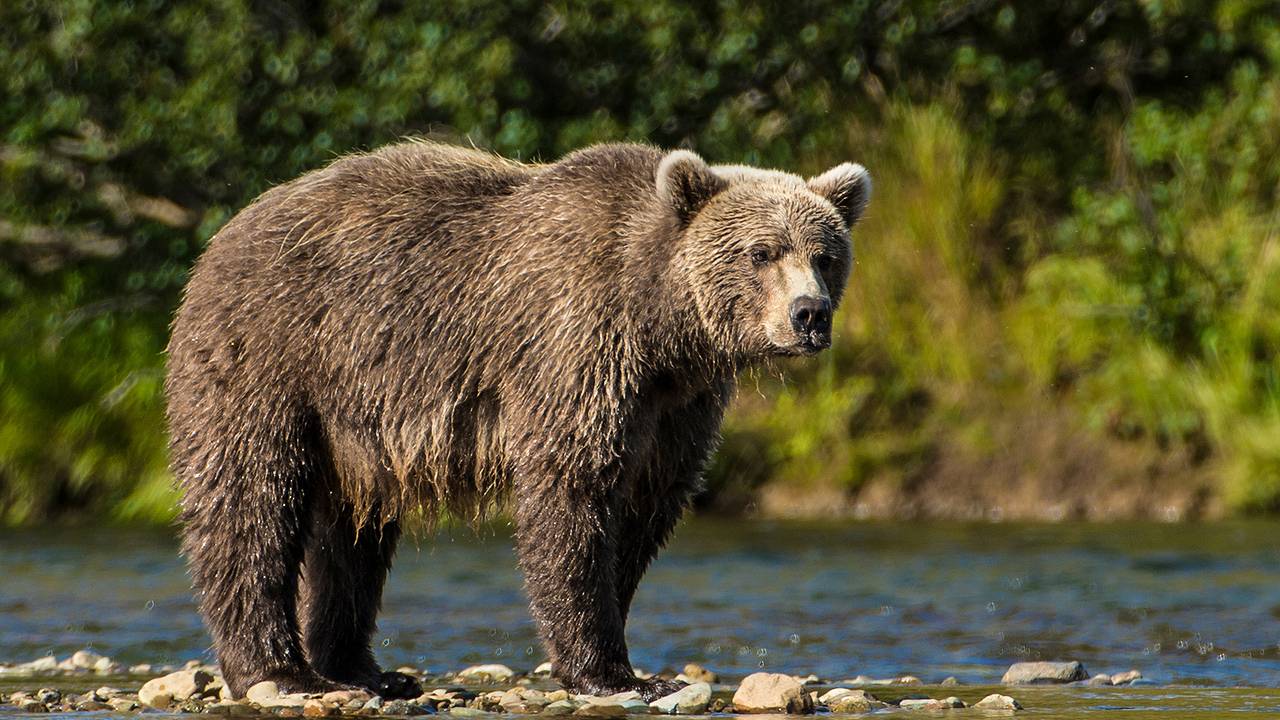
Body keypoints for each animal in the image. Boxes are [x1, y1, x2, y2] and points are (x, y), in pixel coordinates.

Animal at [164, 140, 870, 701]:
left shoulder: (675, 406)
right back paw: (279, 671)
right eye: (761, 252)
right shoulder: (576, 348)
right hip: (275, 356)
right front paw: (612, 672)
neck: (662, 327)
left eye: (826, 254)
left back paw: (366, 670)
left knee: (354, 537)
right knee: (251, 501)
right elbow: (572, 494)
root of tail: (221, 238)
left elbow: (646, 506)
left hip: (355, 422)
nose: (809, 314)